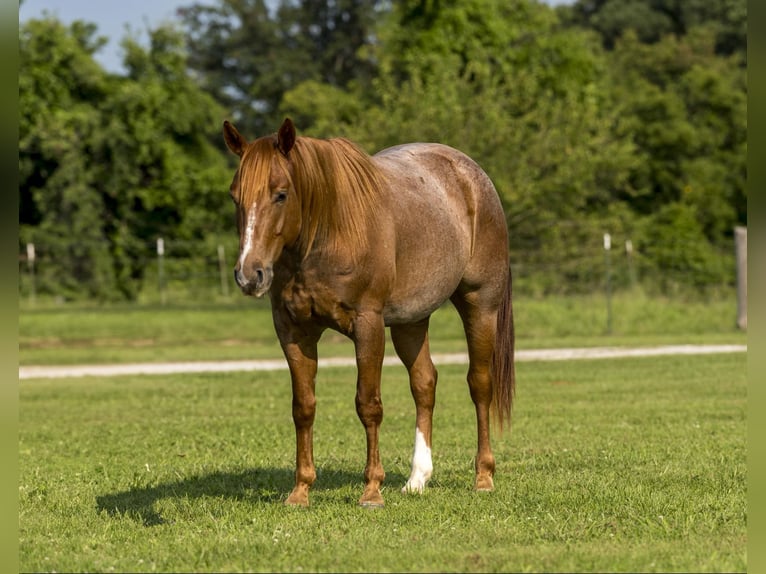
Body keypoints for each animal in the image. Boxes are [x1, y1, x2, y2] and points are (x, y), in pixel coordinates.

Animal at [225, 117, 520, 508]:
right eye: (235, 196)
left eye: (281, 193)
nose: (249, 274)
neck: (329, 230)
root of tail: (474, 177)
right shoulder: (293, 330)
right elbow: (303, 407)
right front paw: (301, 490)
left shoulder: (368, 325)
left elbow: (368, 404)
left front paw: (372, 490)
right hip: (412, 320)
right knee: (424, 384)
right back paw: (417, 479)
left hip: (480, 304)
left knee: (480, 385)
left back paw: (484, 476)